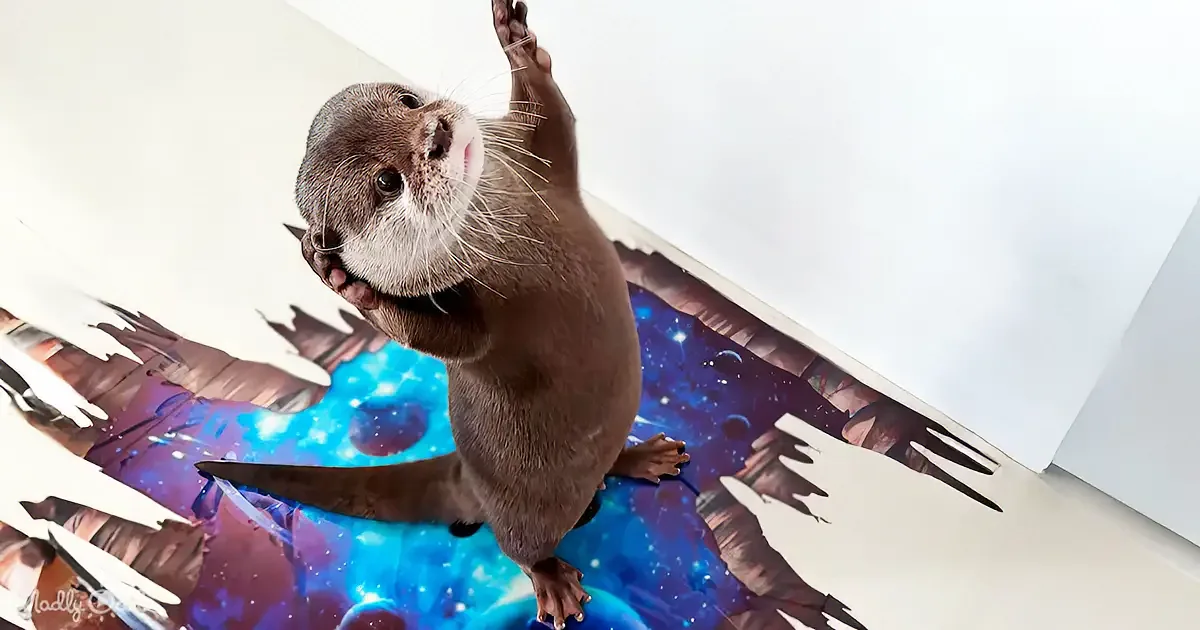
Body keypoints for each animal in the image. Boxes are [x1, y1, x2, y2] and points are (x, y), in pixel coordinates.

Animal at [195, 1, 689, 627]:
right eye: (387, 181)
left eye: (408, 101)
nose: (437, 133)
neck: (512, 230)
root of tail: (465, 475)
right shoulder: (481, 313)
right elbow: (451, 340)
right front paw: (347, 283)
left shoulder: (539, 163)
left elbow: (554, 115)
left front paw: (515, 36)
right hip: (522, 513)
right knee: (518, 546)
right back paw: (553, 582)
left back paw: (645, 456)